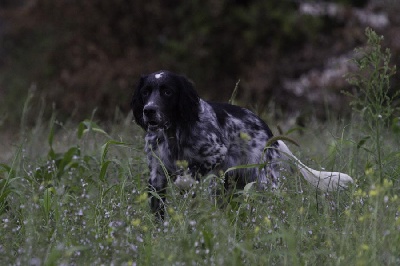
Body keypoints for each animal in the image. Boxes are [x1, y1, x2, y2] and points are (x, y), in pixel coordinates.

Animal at [131, 70, 354, 218]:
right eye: (145, 92)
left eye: (167, 92)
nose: (148, 110)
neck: (173, 134)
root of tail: (269, 132)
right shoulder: (157, 174)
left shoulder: (216, 153)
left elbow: (191, 172)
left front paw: (183, 181)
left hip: (264, 181)